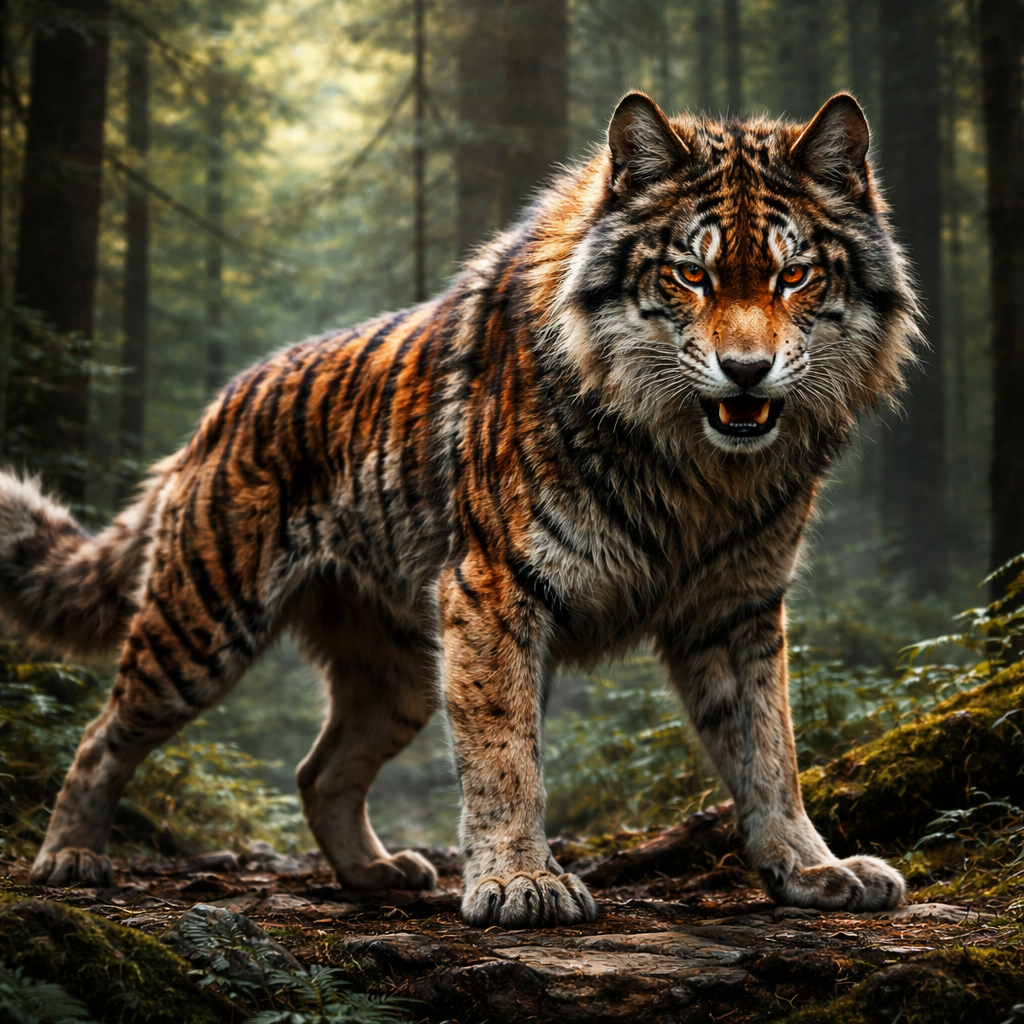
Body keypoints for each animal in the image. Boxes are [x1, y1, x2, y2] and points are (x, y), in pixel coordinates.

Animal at [0, 91, 915, 927]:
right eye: (692, 274)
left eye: (794, 274)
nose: (747, 371)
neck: (696, 468)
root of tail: (217, 409)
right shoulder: (495, 588)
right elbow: (506, 753)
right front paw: (520, 882)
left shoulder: (736, 606)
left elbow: (770, 750)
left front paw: (813, 870)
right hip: (201, 626)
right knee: (100, 734)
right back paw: (69, 857)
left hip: (400, 667)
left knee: (318, 771)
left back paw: (375, 874)